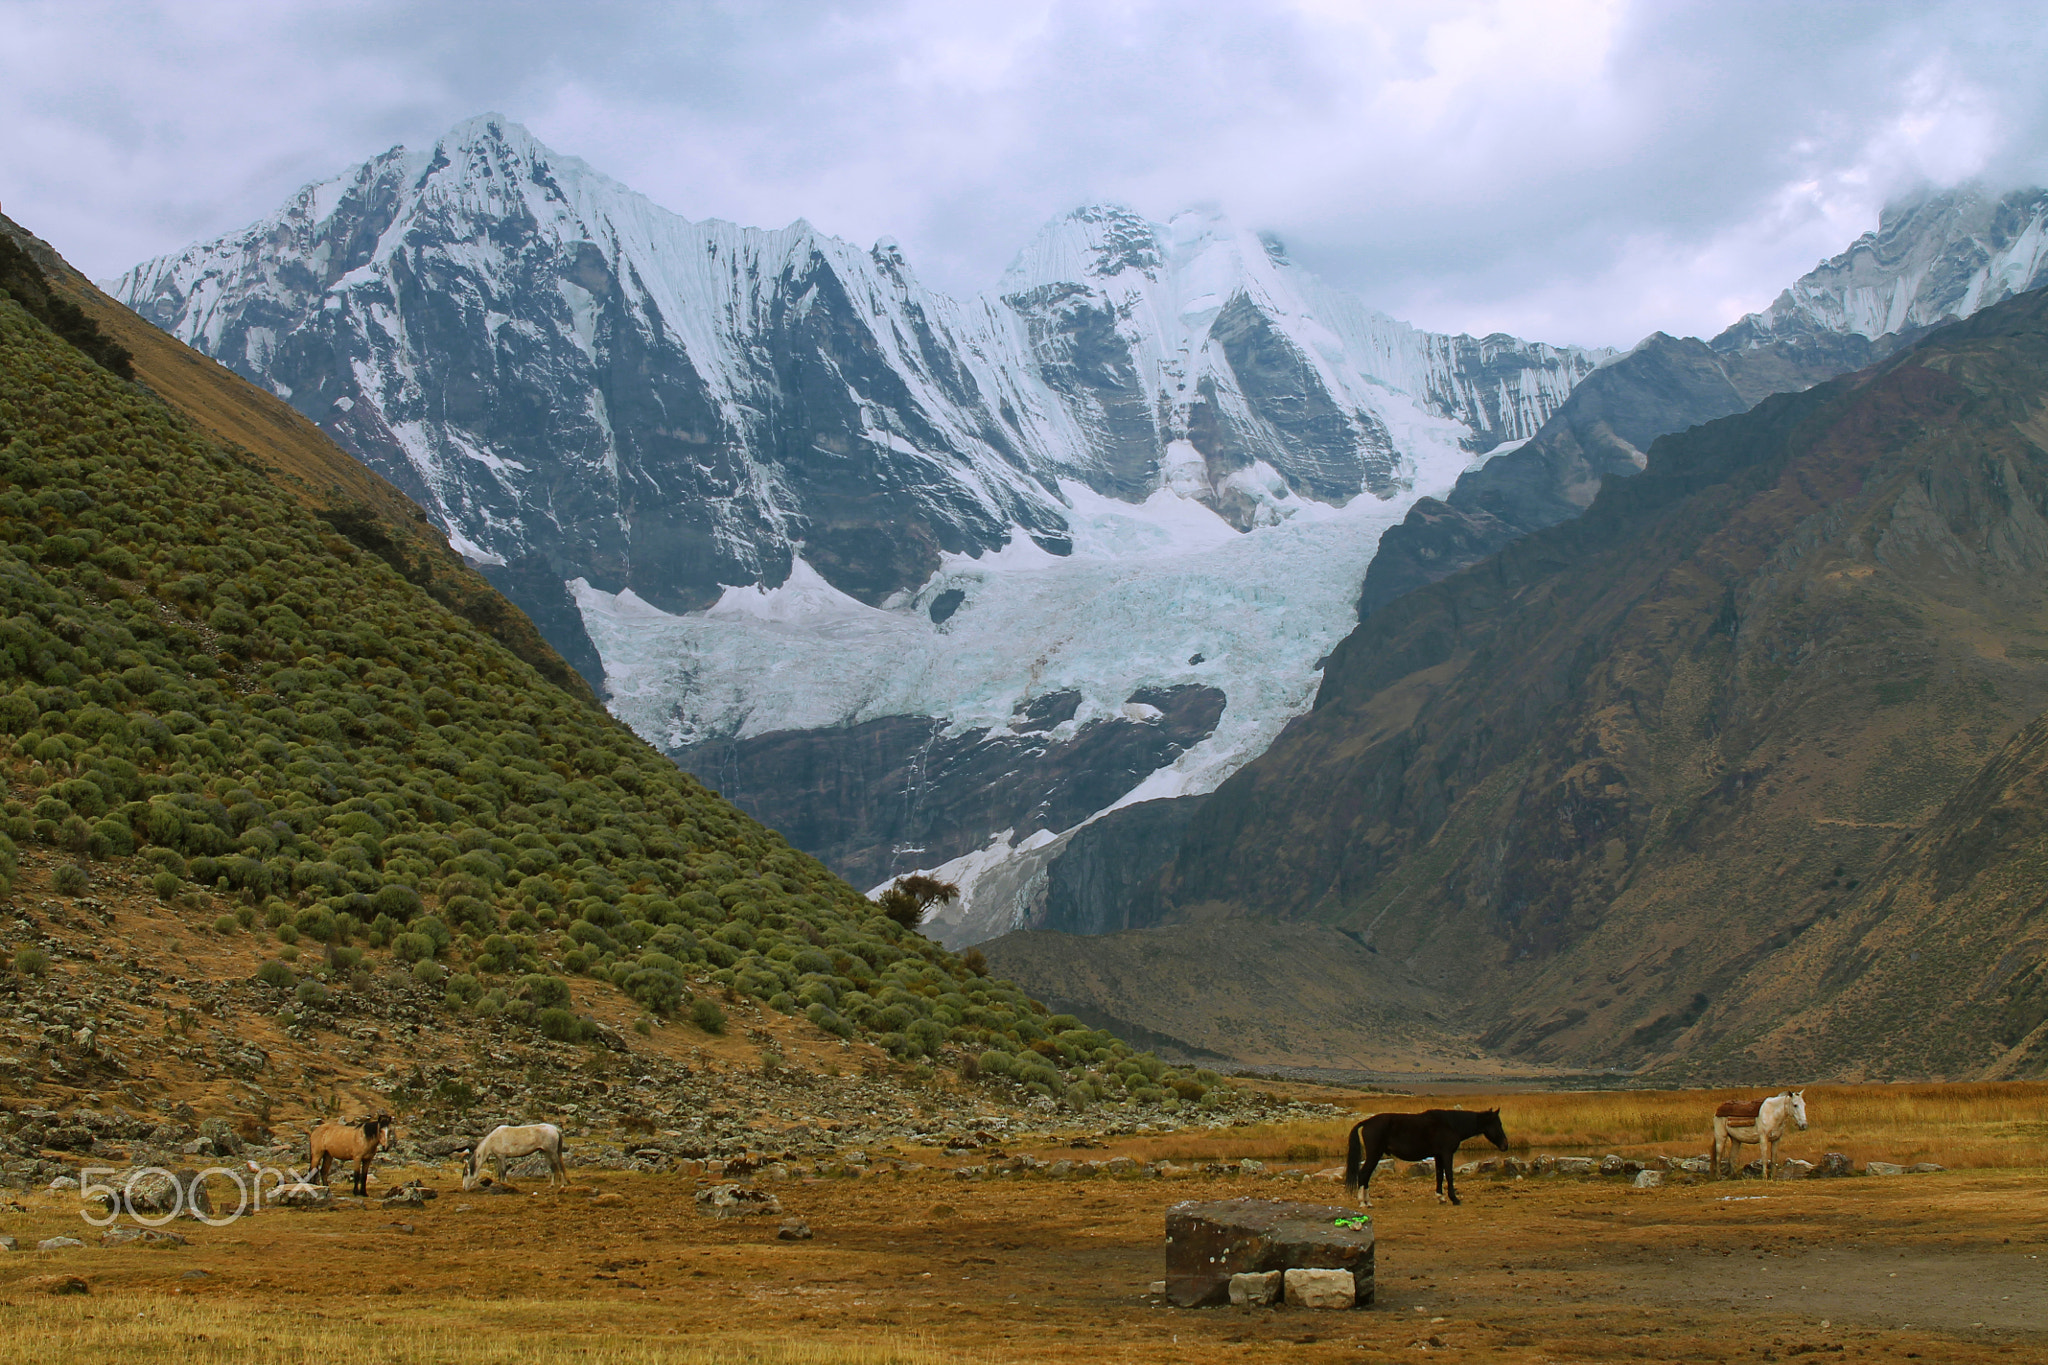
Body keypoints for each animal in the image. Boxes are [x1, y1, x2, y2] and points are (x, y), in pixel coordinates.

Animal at [1335, 1113, 1515, 1203]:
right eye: (1498, 1124)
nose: (1505, 1145)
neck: (1450, 1124)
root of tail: (1367, 1122)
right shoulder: (1447, 1154)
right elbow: (1449, 1175)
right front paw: (1454, 1198)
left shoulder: (1438, 1155)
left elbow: (1439, 1175)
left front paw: (1440, 1197)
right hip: (1374, 1154)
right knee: (1363, 1174)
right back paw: (1363, 1202)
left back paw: (1368, 1201)